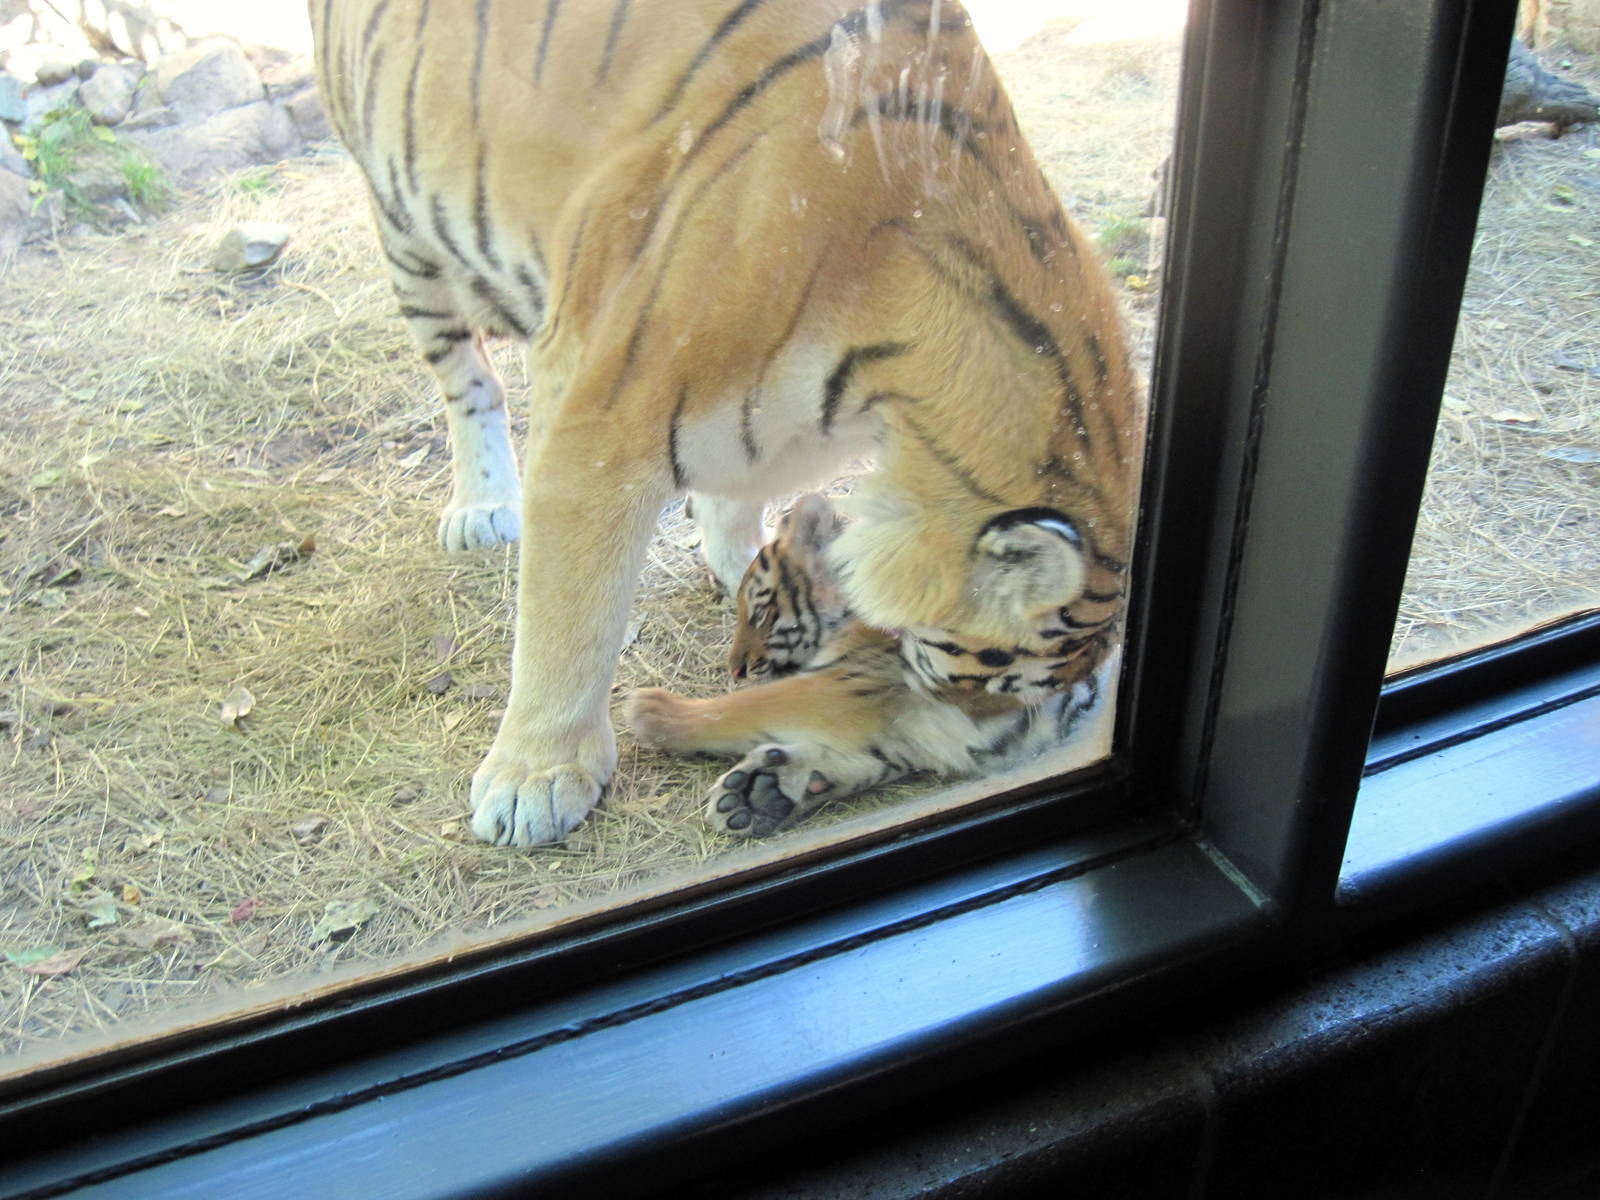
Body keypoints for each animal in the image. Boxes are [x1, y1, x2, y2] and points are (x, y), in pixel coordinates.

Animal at [629, 492, 1114, 836]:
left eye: (760, 613)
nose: (736, 669)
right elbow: (876, 757)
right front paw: (764, 792)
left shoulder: (854, 683)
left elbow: (749, 706)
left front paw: (656, 710)